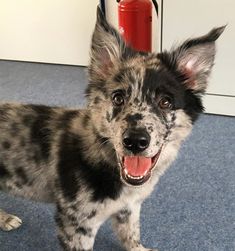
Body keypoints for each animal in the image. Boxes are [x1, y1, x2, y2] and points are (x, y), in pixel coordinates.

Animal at [0, 7, 224, 251]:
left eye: (165, 102)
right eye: (118, 98)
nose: (135, 141)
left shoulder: (130, 207)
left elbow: (131, 234)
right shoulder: (76, 224)